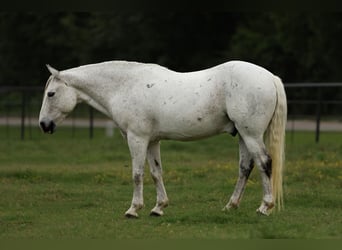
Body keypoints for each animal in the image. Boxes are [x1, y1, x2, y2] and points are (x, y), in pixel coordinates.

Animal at [38, 60, 288, 217]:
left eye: (51, 94)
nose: (43, 124)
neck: (125, 86)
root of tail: (269, 77)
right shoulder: (152, 141)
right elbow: (156, 172)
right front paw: (158, 207)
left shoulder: (137, 139)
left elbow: (137, 174)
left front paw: (133, 209)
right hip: (243, 136)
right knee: (245, 168)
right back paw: (231, 205)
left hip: (251, 135)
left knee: (265, 163)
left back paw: (265, 207)